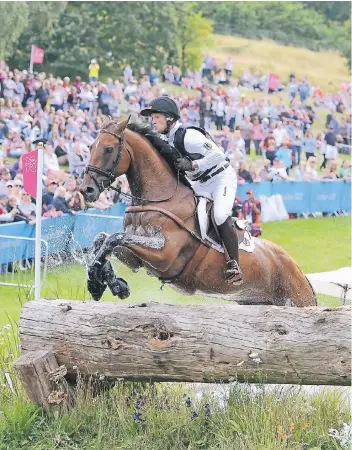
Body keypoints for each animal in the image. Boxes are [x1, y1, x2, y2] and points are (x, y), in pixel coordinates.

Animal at [80, 118, 316, 308]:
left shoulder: (165, 257)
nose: (86, 190)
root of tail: (299, 270)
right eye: (91, 147)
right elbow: (103, 240)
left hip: (297, 299)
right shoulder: (135, 258)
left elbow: (114, 238)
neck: (162, 197)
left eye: (108, 149)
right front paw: (108, 284)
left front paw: (98, 283)